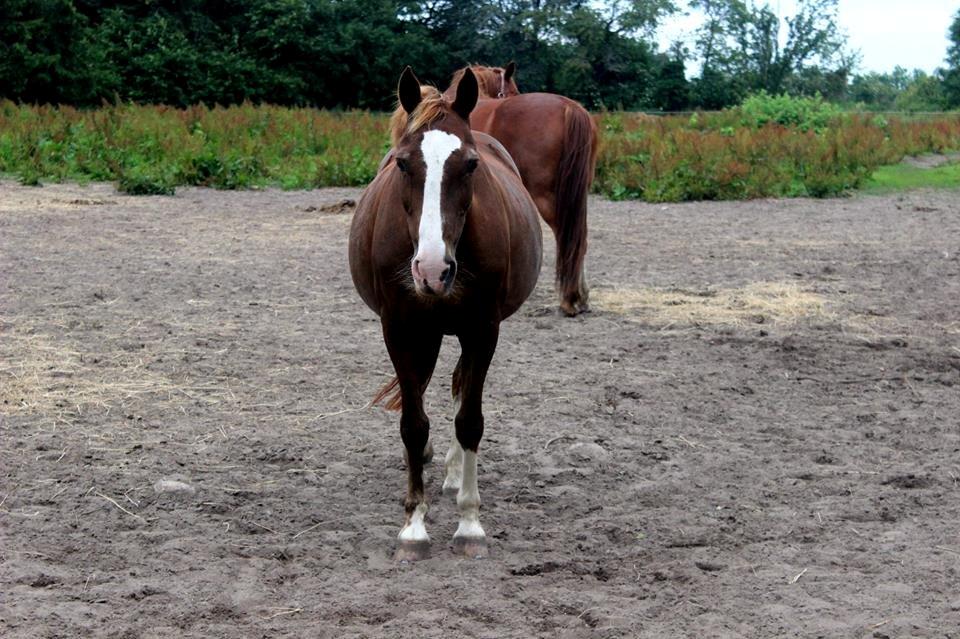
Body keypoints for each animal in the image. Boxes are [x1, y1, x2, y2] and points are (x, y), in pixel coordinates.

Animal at [350, 69, 548, 560]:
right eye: (404, 164)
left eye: (471, 165)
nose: (433, 269)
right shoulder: (398, 328)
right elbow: (413, 423)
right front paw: (413, 528)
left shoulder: (483, 329)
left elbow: (470, 421)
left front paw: (470, 525)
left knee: (459, 388)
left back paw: (456, 475)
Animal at [446, 63, 596, 318]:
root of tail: (570, 108)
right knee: (580, 239)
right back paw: (581, 298)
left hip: (547, 198)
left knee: (566, 239)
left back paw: (569, 300)